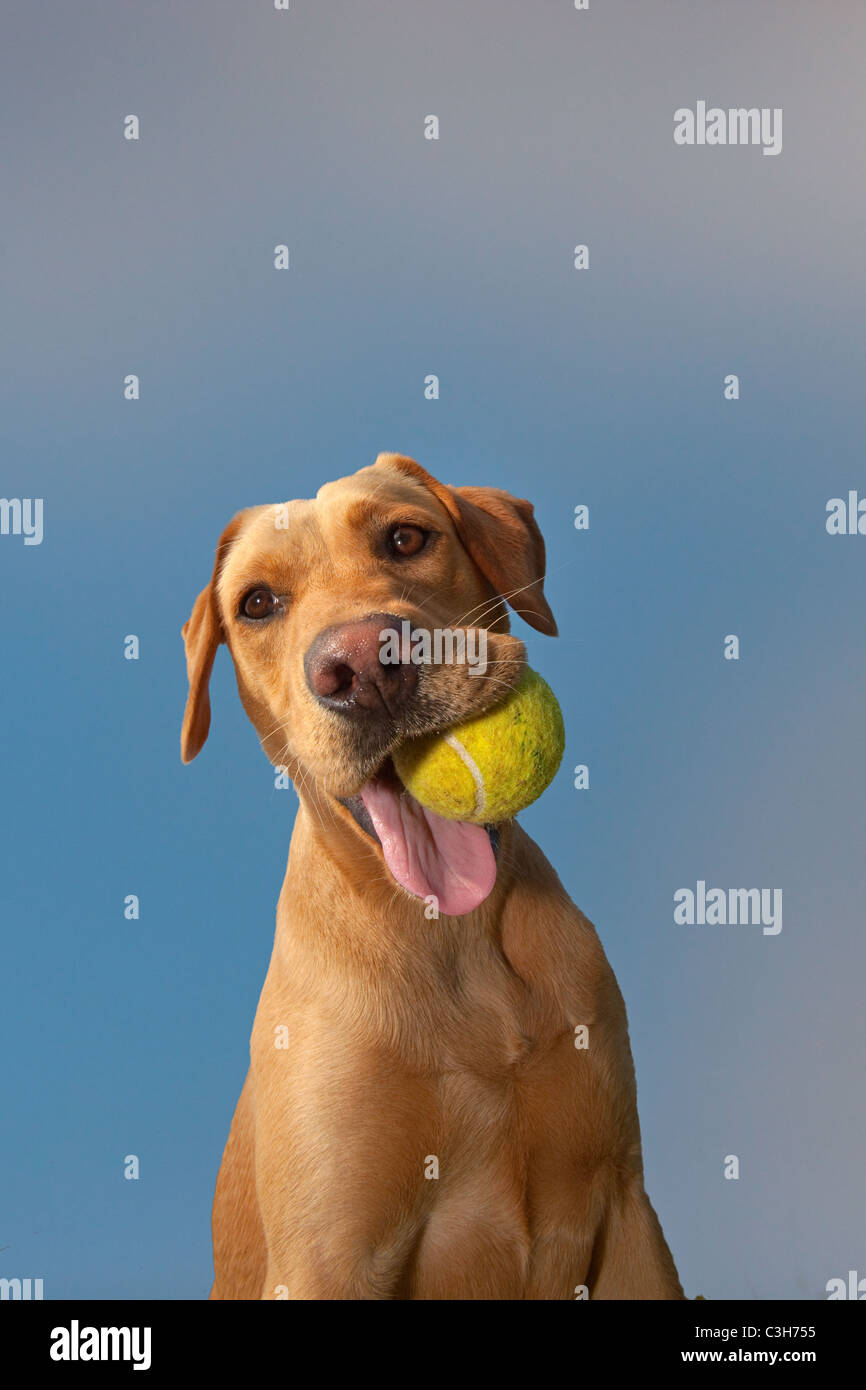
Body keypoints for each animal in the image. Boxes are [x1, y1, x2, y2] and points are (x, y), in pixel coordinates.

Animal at [183, 450, 683, 1295]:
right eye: (256, 603)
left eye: (407, 537)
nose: (361, 664)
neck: (452, 939)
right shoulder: (328, 1257)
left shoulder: (625, 1211)